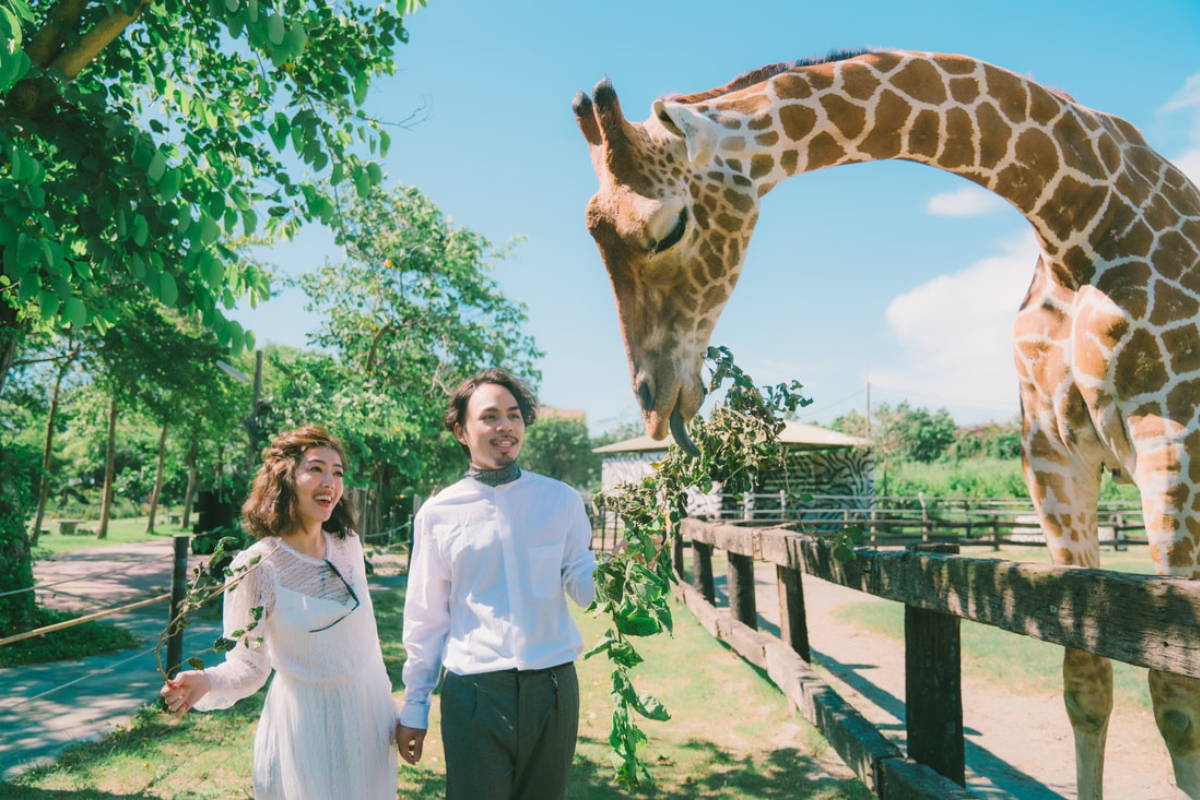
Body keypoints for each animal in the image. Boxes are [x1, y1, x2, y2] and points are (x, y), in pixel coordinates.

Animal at [571, 50, 1200, 800]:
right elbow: (1087, 680)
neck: (1076, 211)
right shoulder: (1054, 456)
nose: (655, 399)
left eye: (668, 229)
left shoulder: (1174, 438)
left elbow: (1177, 700)